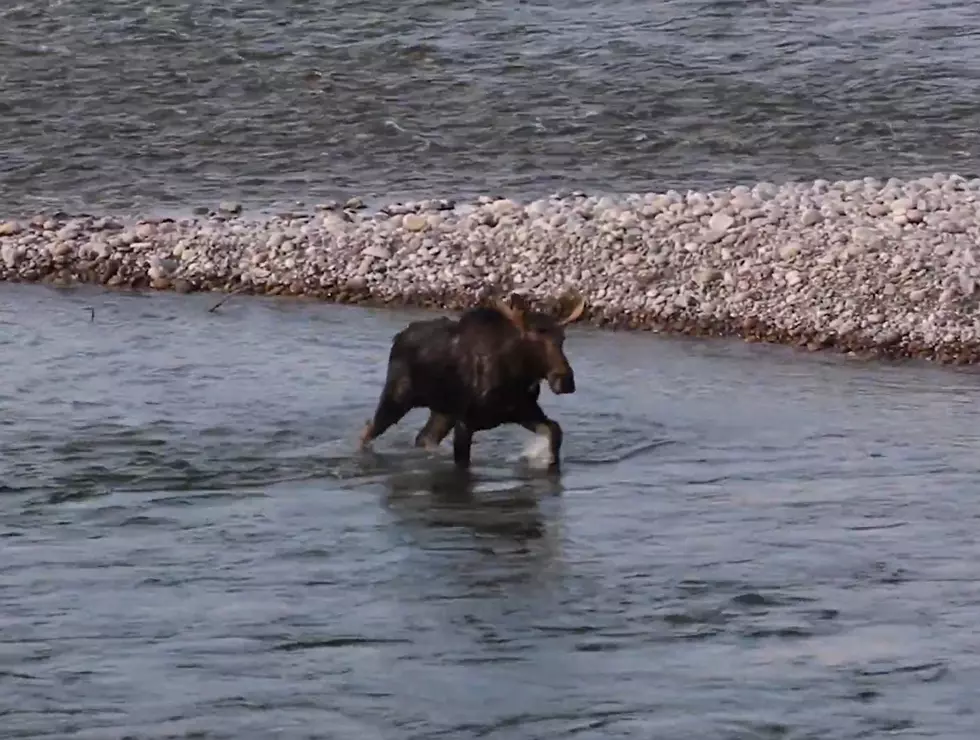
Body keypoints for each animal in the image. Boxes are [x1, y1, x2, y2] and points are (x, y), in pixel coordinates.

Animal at [360, 290, 588, 472]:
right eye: (534, 339)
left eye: (562, 338)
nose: (565, 380)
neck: (516, 377)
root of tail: (398, 337)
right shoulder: (465, 422)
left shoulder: (523, 411)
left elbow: (555, 431)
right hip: (397, 398)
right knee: (367, 432)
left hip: (443, 413)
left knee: (422, 438)